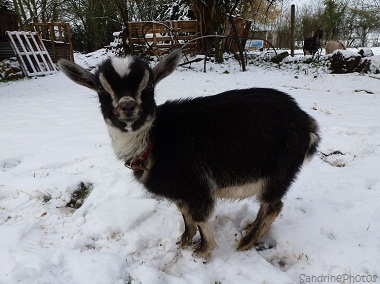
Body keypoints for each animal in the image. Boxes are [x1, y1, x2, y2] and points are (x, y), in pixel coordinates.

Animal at [58, 49, 320, 260]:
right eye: (101, 88)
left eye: (149, 85)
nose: (128, 106)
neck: (155, 140)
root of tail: (306, 123)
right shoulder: (180, 190)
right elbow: (185, 214)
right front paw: (184, 239)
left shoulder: (197, 186)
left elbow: (200, 217)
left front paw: (202, 250)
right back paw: (248, 230)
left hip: (279, 171)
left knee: (273, 205)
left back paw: (245, 242)